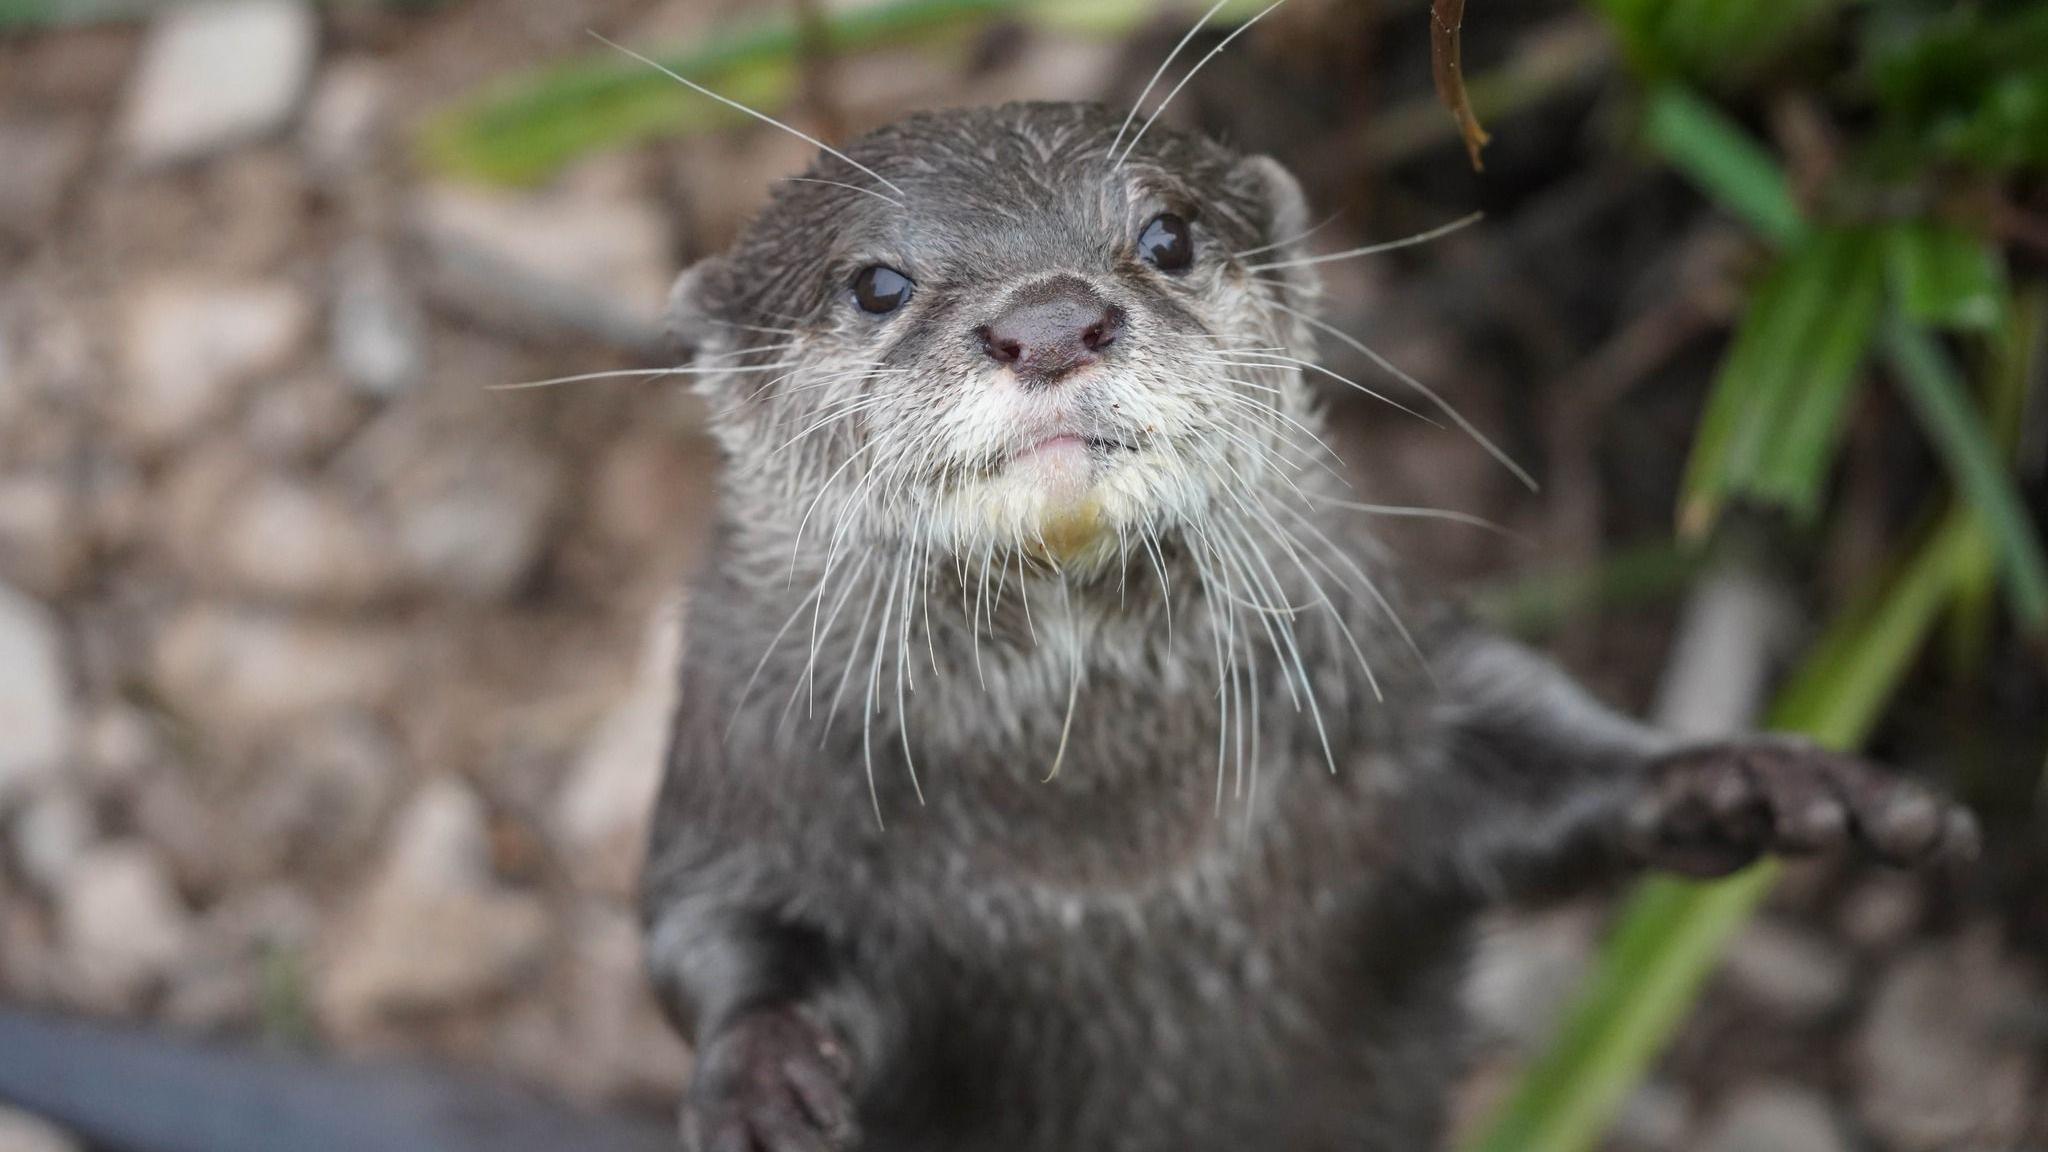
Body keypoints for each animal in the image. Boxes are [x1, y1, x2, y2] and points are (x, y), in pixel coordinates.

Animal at [643, 100, 1982, 1147]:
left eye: (1168, 234)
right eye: (876, 283)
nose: (1052, 322)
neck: (1103, 852)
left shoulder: (1400, 696)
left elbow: (1552, 758)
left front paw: (1747, 780)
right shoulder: (738, 784)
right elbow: (706, 935)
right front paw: (759, 1075)